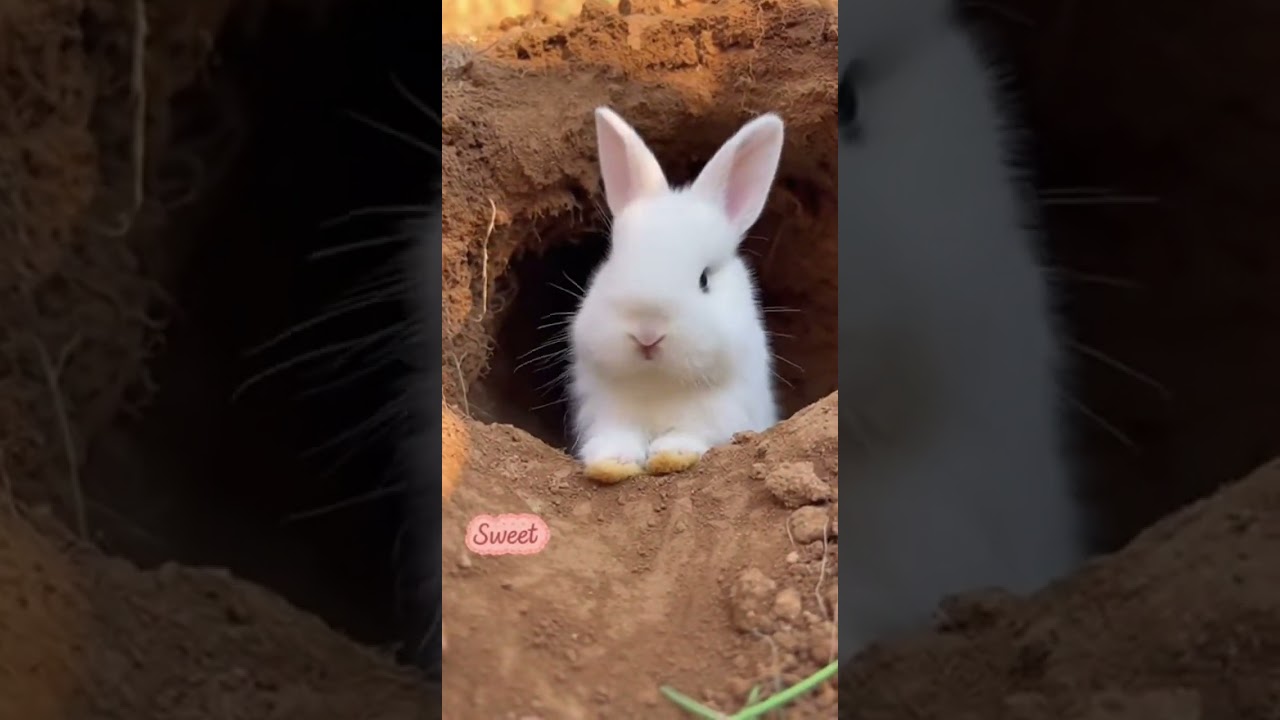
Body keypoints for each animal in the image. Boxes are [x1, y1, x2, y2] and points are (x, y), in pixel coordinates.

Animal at [567, 107, 786, 484]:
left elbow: (690, 435)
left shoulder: (722, 412)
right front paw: (610, 465)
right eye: (613, 262)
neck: (658, 384)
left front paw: (671, 457)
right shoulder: (607, 413)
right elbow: (616, 438)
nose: (647, 333)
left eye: (704, 279)